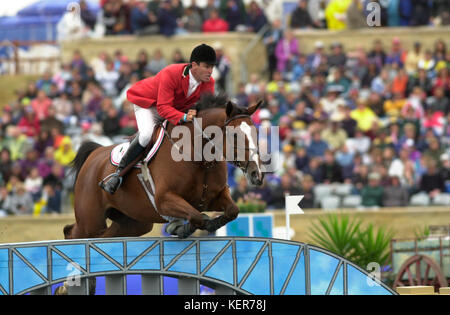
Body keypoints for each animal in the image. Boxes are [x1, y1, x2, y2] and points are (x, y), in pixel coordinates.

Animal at [65, 95, 266, 241]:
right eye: (234, 135)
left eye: (256, 132)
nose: (256, 174)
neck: (201, 159)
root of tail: (94, 153)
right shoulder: (164, 199)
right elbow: (196, 216)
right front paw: (181, 228)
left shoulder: (213, 197)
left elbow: (232, 210)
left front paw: (200, 225)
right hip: (90, 220)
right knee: (74, 233)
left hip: (134, 222)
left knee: (105, 236)